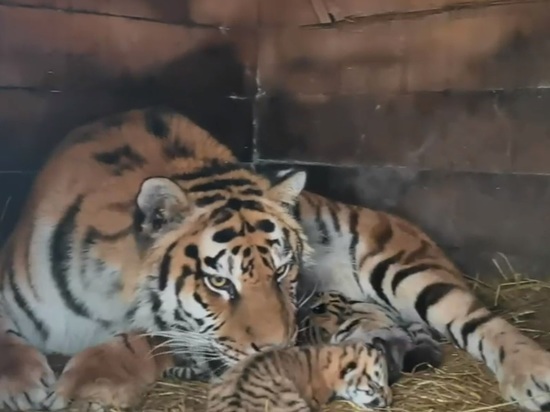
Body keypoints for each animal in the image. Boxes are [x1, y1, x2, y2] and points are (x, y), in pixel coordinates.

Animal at [0, 108, 548, 410]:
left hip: (404, 268)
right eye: (220, 283)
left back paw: (533, 374)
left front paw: (87, 389)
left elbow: (134, 340)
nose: (279, 347)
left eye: (283, 270)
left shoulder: (171, 331)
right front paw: (20, 384)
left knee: (482, 321)